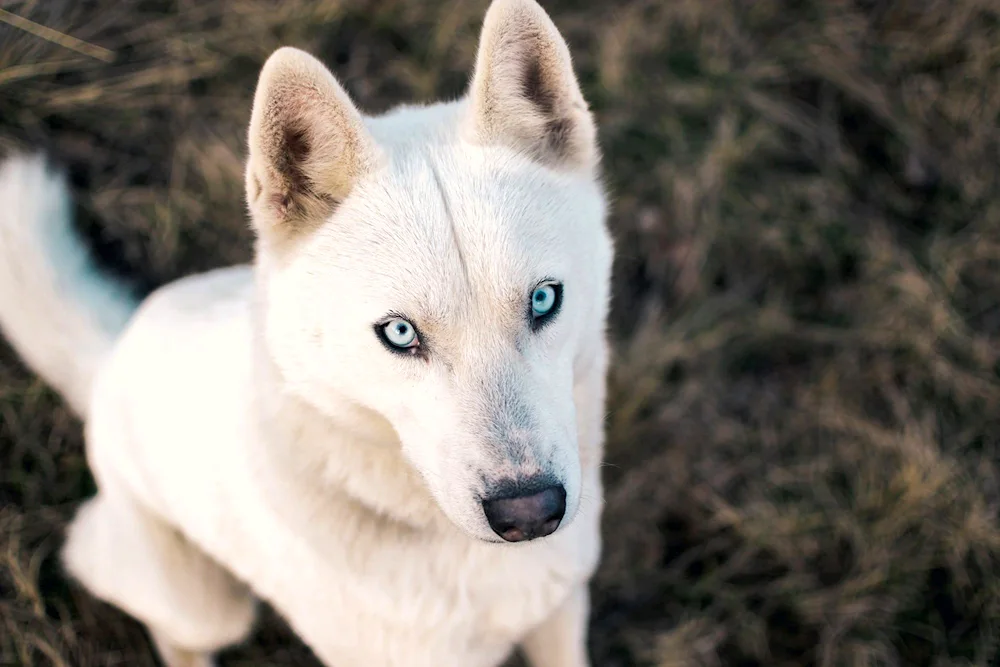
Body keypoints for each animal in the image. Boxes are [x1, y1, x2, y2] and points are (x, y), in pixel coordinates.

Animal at [0, 1, 608, 667]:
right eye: (400, 333)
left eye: (543, 299)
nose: (531, 513)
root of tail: (114, 348)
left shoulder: (561, 611)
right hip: (204, 607)